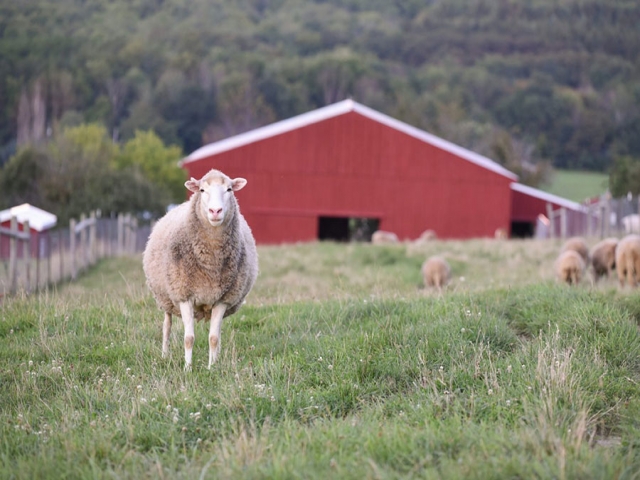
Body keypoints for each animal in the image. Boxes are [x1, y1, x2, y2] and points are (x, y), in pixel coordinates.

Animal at [143, 168, 258, 370]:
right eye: (202, 190)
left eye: (229, 189)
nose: (215, 211)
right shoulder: (184, 296)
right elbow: (188, 338)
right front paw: (187, 369)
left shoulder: (222, 299)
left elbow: (213, 338)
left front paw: (212, 368)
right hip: (166, 297)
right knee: (166, 325)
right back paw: (165, 355)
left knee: (217, 334)